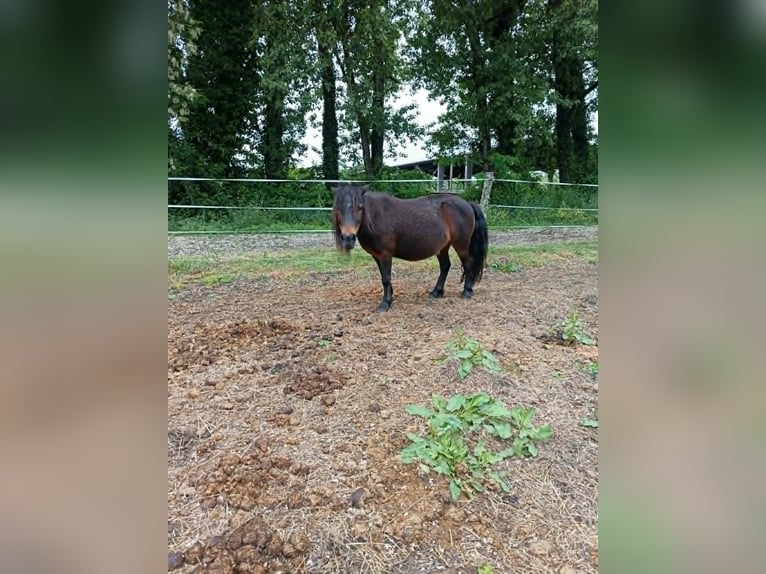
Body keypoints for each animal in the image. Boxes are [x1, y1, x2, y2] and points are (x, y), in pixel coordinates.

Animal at [332, 184, 489, 312]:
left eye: (360, 207)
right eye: (338, 209)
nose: (348, 238)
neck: (376, 217)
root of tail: (467, 204)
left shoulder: (385, 254)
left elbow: (386, 278)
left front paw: (385, 303)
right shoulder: (376, 256)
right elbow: (383, 276)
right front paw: (390, 296)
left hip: (461, 245)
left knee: (467, 264)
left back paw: (467, 291)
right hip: (443, 247)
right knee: (445, 266)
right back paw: (436, 292)